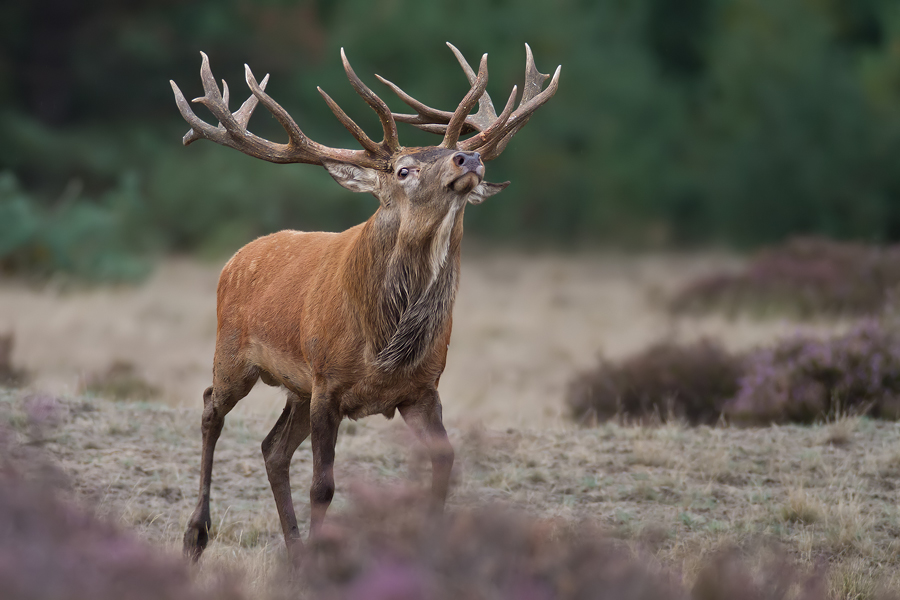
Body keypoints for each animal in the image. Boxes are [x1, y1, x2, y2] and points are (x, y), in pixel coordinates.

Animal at [170, 42, 560, 564]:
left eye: (452, 153)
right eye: (403, 169)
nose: (469, 157)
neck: (384, 341)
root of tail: (235, 258)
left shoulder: (421, 388)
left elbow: (445, 461)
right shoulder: (328, 382)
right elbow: (323, 486)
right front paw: (321, 561)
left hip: (295, 387)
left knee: (273, 448)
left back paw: (293, 551)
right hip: (234, 353)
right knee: (212, 408)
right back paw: (196, 537)